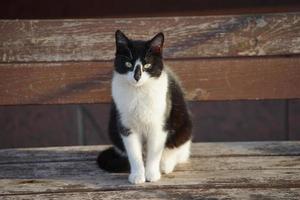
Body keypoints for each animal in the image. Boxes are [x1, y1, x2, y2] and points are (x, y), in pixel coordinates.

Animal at [97, 30, 193, 184]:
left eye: (147, 65)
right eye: (128, 63)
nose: (137, 77)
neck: (139, 92)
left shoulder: (159, 124)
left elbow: (154, 151)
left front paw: (152, 174)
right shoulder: (126, 125)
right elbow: (134, 153)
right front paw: (137, 175)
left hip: (184, 125)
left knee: (178, 151)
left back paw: (165, 164)